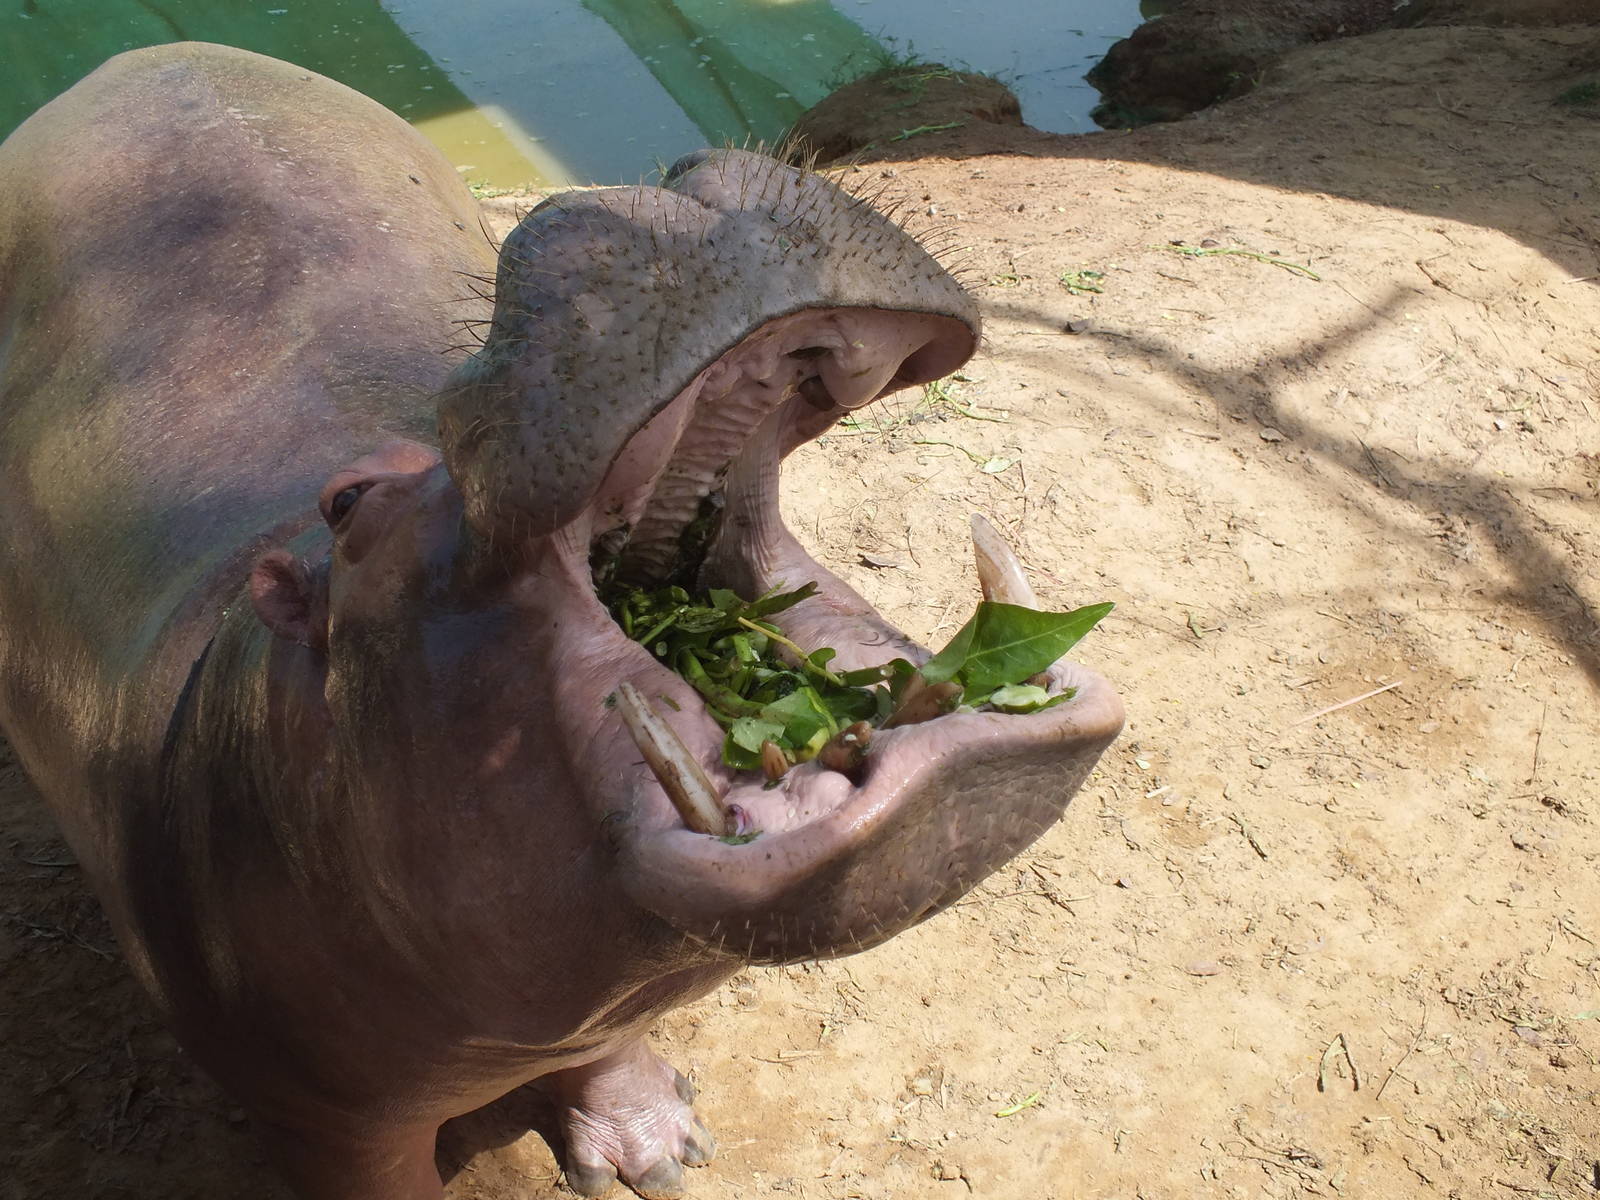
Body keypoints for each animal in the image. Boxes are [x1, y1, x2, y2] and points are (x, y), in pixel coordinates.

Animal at [0, 42, 1122, 1200]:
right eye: (349, 505)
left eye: (414, 424)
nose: (674, 193)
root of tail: (146, 54)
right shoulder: (322, 1119)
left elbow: (602, 1044)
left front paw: (657, 1150)